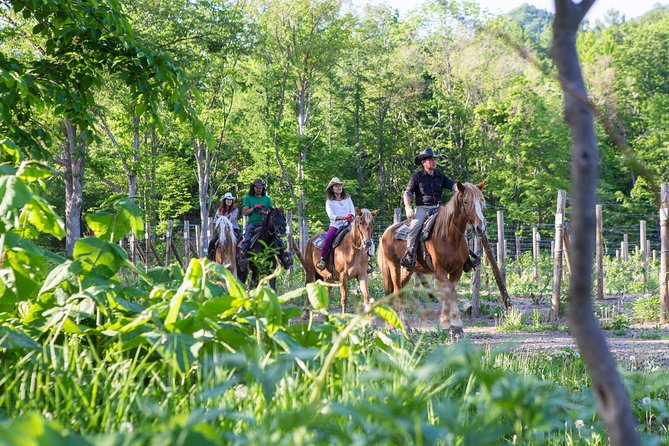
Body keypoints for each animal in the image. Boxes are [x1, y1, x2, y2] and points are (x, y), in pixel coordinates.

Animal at [376, 180, 486, 334]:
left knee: (397, 291)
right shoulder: (439, 271)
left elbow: (448, 292)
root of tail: (387, 232)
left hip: (407, 269)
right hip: (393, 266)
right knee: (397, 291)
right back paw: (403, 325)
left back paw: (394, 324)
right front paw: (456, 324)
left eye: (481, 201)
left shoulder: (456, 271)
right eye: (466, 201)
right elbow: (451, 293)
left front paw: (446, 324)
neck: (448, 237)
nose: (480, 227)